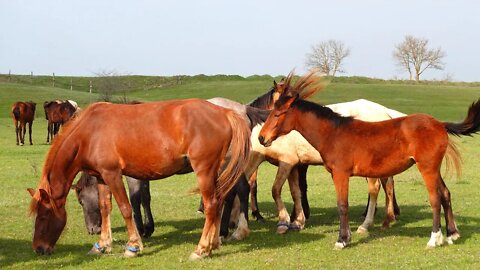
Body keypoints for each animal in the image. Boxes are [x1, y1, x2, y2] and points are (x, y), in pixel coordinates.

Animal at [27, 99, 251, 260]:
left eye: (44, 216)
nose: (38, 248)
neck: (89, 133)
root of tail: (225, 112)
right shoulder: (101, 177)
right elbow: (105, 208)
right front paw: (102, 245)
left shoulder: (113, 174)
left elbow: (126, 208)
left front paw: (133, 246)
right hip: (218, 171)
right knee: (220, 201)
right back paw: (213, 243)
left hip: (204, 170)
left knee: (211, 205)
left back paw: (201, 249)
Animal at [260, 70, 480, 249]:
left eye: (278, 114)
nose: (262, 138)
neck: (334, 133)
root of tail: (439, 124)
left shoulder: (341, 174)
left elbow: (342, 205)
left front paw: (342, 240)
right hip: (434, 169)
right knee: (445, 194)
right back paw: (452, 234)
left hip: (427, 168)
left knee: (435, 198)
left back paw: (434, 239)